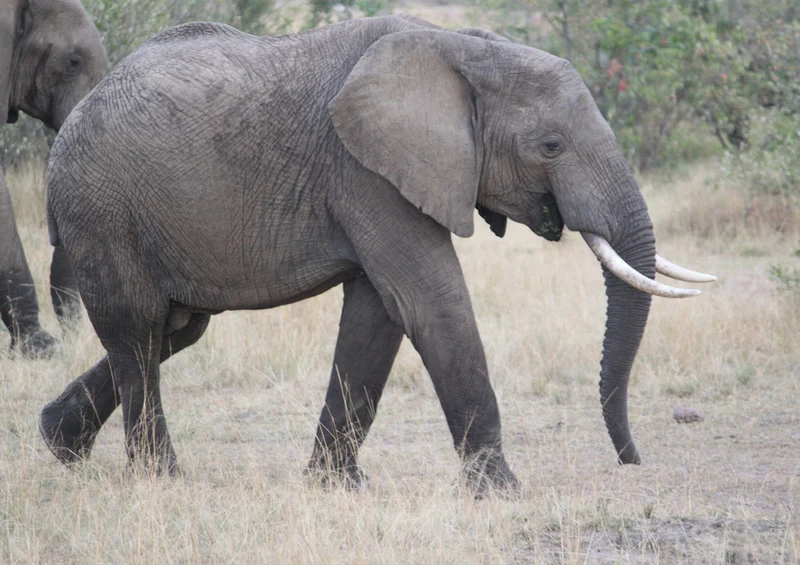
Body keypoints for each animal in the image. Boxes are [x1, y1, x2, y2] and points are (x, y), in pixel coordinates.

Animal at [37, 15, 715, 493]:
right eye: (550, 146)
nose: (631, 460)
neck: (464, 48)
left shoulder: (378, 177)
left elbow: (377, 317)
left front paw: (336, 487)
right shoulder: (365, 170)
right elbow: (430, 299)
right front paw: (502, 492)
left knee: (174, 330)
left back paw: (58, 446)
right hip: (99, 208)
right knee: (137, 331)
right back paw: (162, 480)